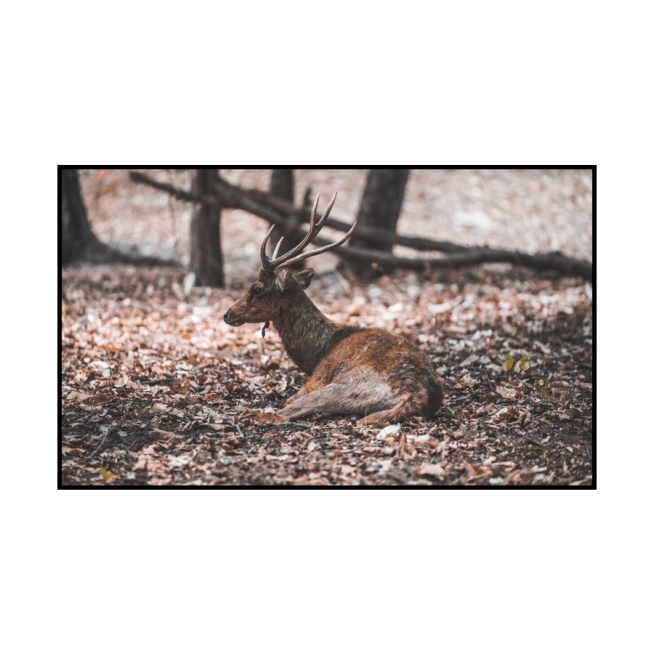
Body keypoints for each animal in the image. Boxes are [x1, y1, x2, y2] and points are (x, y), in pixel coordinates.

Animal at [223, 192, 443, 427]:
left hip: (342, 386)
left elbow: (289, 400)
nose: (227, 314)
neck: (316, 353)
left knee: (286, 411)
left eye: (256, 288)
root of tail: (417, 394)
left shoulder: (316, 379)